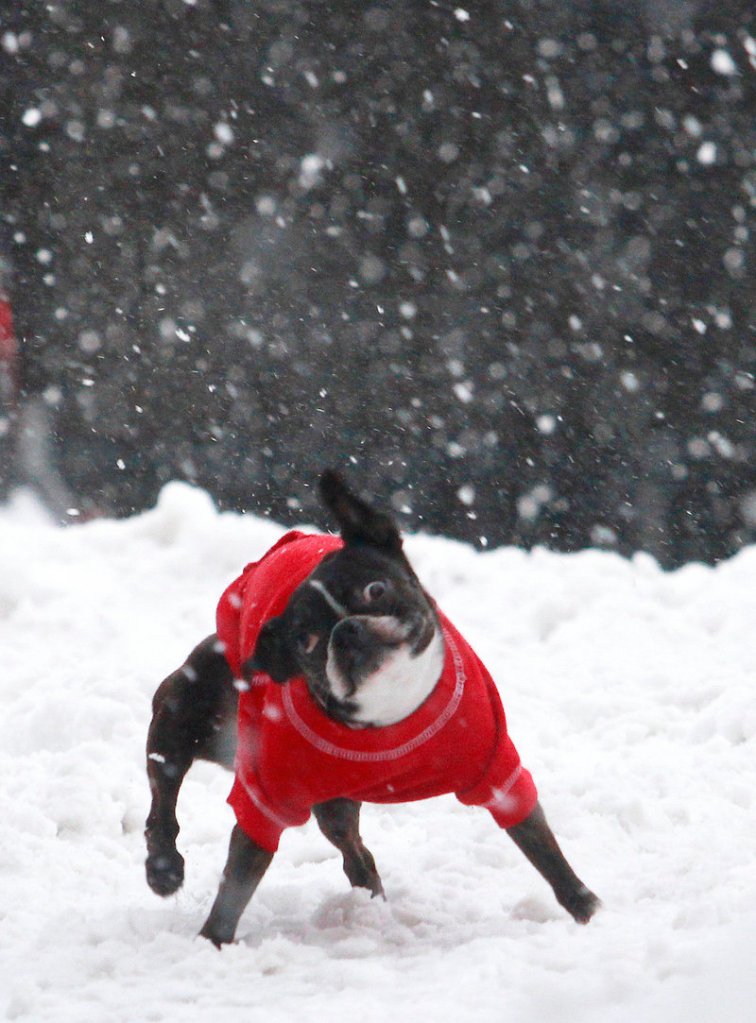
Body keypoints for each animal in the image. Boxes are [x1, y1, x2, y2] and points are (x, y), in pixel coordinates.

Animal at [145, 468, 601, 941]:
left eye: (375, 589)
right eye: (306, 641)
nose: (345, 631)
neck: (387, 708)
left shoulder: (495, 771)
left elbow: (540, 845)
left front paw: (584, 907)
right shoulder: (266, 801)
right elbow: (237, 879)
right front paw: (213, 941)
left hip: (333, 803)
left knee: (353, 849)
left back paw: (369, 899)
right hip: (180, 717)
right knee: (163, 803)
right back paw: (163, 869)